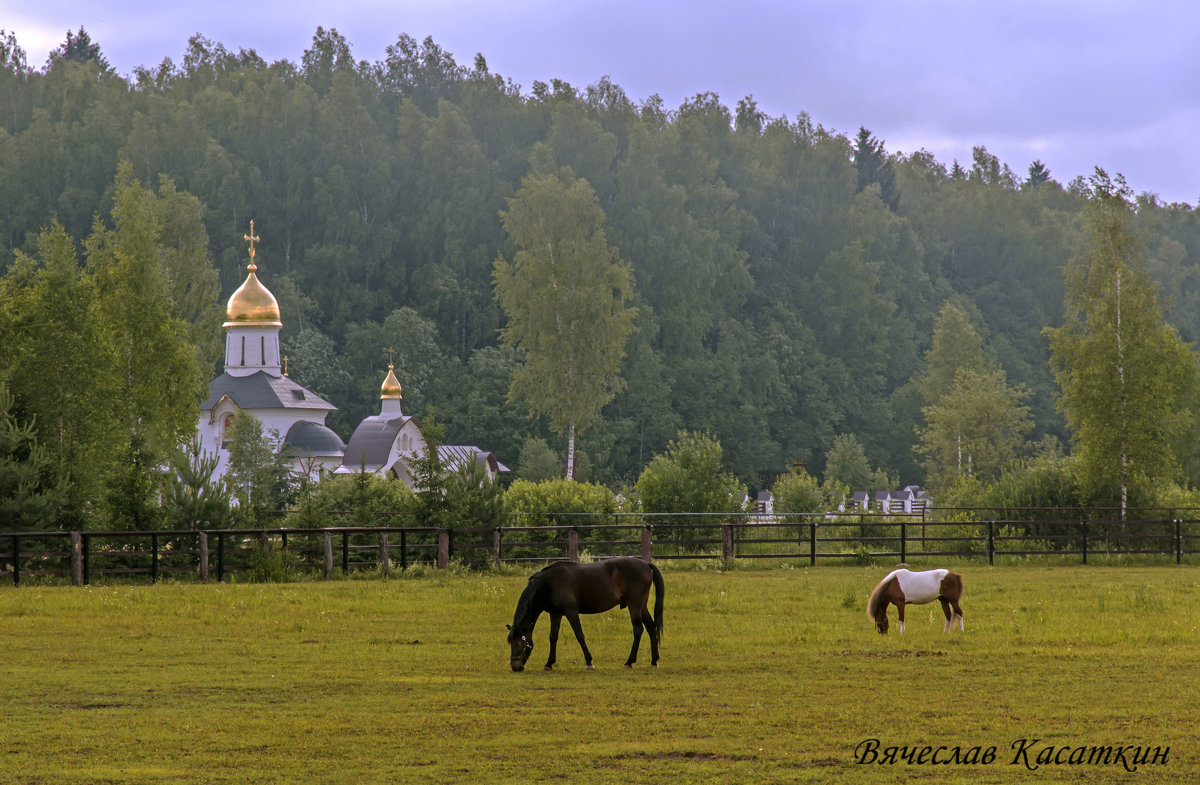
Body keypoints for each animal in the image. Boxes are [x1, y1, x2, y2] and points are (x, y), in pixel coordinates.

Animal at [506, 556, 667, 672]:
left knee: (638, 630)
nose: (515, 667)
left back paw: (629, 662)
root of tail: (646, 564)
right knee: (651, 628)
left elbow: (579, 635)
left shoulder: (571, 612)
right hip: (642, 606)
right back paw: (654, 660)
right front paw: (549, 663)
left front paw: (589, 662)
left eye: (518, 643)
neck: (548, 584)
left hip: (634, 605)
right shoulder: (556, 614)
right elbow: (553, 637)